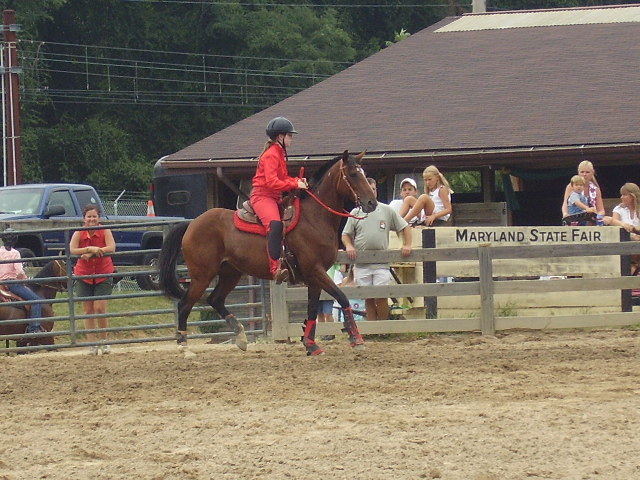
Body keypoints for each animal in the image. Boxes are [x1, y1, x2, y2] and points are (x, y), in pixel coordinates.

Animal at [160, 150, 378, 356]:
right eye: (352, 174)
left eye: (364, 173)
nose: (372, 203)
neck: (314, 218)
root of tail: (191, 224)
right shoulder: (315, 271)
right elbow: (342, 297)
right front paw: (356, 339)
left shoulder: (314, 277)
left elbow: (312, 310)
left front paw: (311, 345)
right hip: (202, 276)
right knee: (185, 305)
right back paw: (184, 347)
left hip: (230, 273)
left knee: (215, 299)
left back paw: (240, 336)